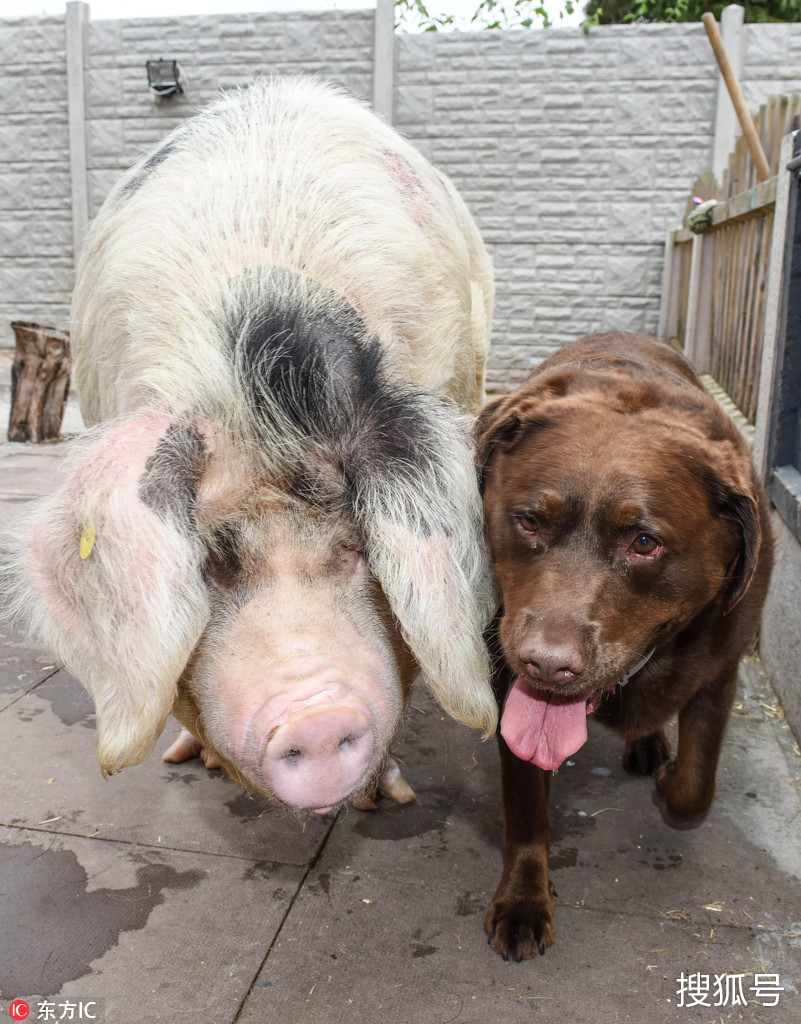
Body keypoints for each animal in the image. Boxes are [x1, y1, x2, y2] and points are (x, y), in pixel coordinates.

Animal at [4, 77, 495, 815]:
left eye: (356, 546)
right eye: (212, 561)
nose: (317, 720)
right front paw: (187, 759)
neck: (255, 395)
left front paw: (390, 799)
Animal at [479, 333, 774, 958]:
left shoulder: (721, 668)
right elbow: (525, 799)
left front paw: (670, 780)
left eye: (644, 543)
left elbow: (695, 788)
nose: (547, 665)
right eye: (529, 521)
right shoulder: (505, 672)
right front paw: (524, 899)